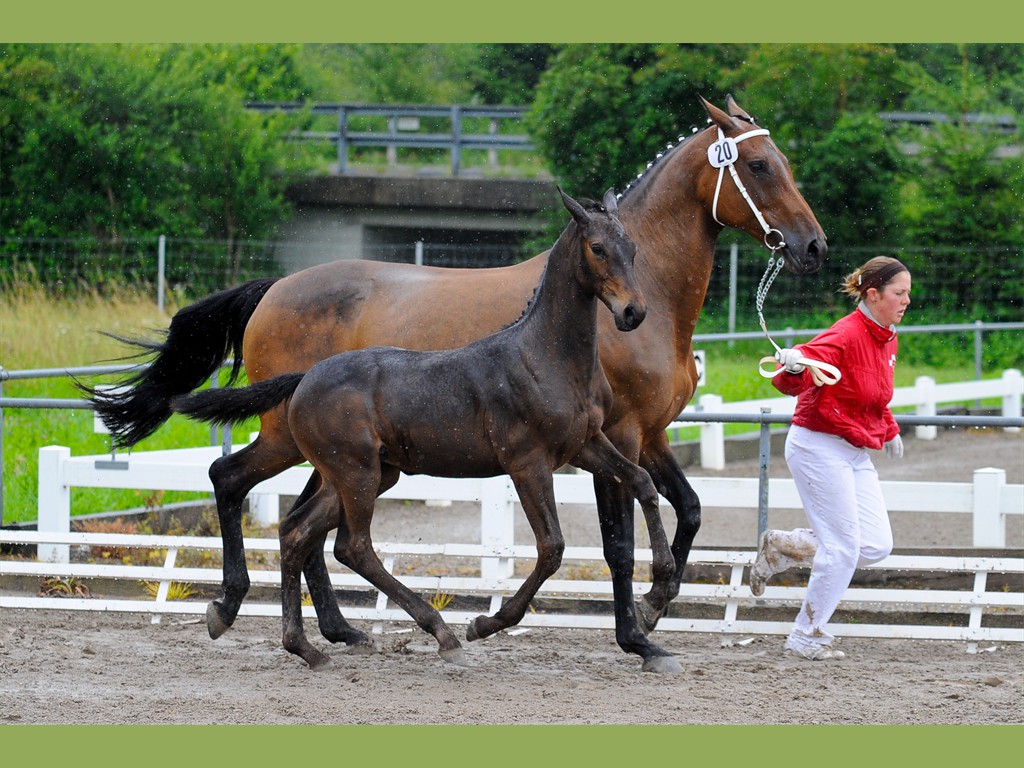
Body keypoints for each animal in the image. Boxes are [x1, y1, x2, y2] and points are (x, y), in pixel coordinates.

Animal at [172, 189, 675, 671]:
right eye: (597, 248)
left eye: (632, 248)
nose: (633, 312)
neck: (545, 357)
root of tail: (305, 378)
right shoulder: (527, 463)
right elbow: (552, 547)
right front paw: (485, 623)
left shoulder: (586, 444)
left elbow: (643, 483)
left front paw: (661, 589)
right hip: (355, 473)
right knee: (351, 545)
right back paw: (440, 634)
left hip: (364, 475)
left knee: (298, 533)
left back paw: (307, 646)